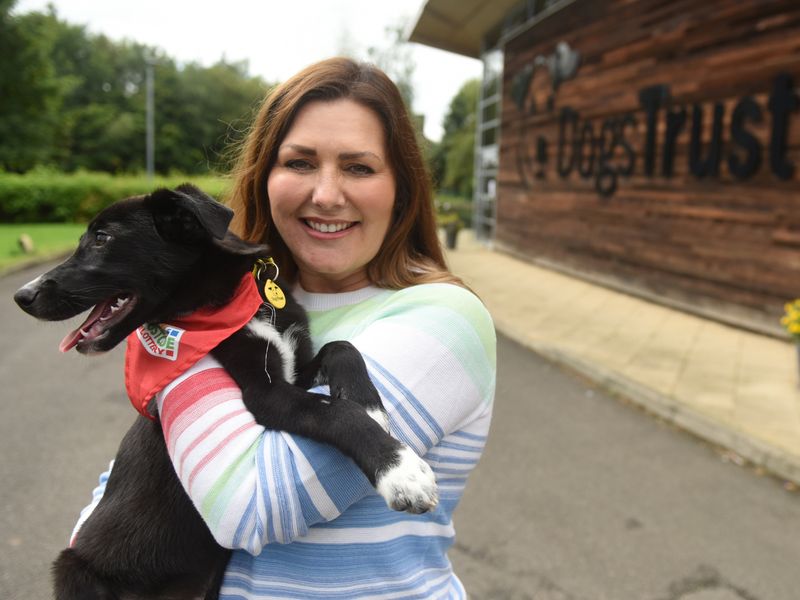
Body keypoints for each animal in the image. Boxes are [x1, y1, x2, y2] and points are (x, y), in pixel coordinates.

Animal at [14, 184, 438, 600]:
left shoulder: (297, 372)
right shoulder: (265, 395)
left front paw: (367, 402)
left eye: (102, 238)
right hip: (73, 569)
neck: (233, 302)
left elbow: (341, 349)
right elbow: (334, 413)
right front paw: (400, 470)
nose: (22, 296)